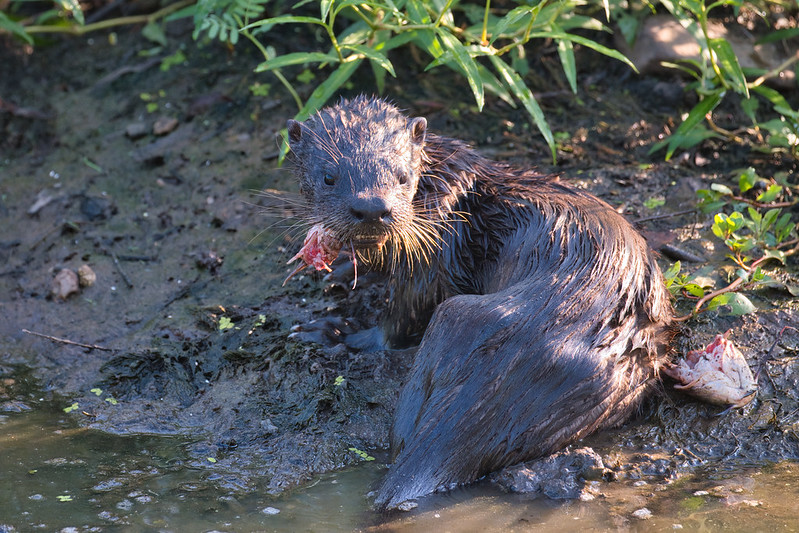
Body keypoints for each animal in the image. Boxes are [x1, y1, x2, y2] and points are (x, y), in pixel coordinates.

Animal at [284, 94, 672, 508]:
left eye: (403, 176)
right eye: (329, 177)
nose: (373, 208)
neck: (440, 191)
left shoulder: (439, 246)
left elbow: (406, 312)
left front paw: (339, 330)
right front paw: (343, 268)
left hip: (455, 314)